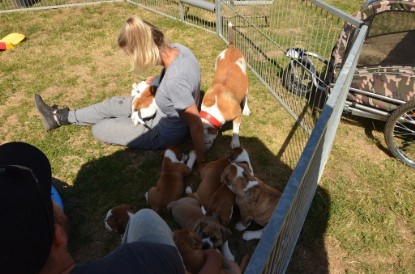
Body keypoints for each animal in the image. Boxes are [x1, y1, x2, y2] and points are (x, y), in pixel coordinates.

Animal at [201, 23, 250, 152]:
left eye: (206, 141)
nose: (203, 152)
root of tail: (232, 48)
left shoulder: (237, 114)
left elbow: (236, 130)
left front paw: (235, 142)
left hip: (246, 84)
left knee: (246, 96)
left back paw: (246, 109)